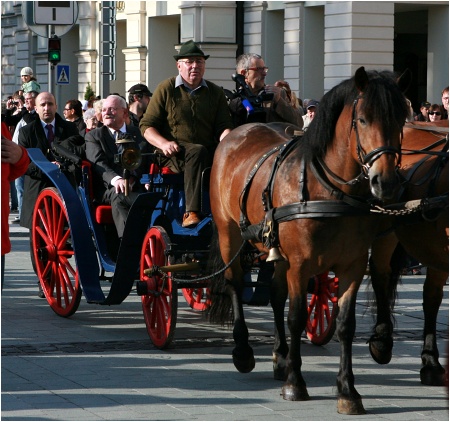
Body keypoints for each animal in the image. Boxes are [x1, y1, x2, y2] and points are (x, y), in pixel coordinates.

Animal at [209, 67, 410, 414]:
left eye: (400, 119)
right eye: (363, 120)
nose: (385, 183)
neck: (328, 190)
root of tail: (236, 133)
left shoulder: (352, 265)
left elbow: (344, 324)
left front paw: (347, 391)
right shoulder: (301, 265)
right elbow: (297, 317)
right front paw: (295, 383)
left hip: (276, 254)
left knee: (276, 295)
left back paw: (280, 357)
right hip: (228, 233)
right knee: (234, 283)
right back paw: (244, 351)